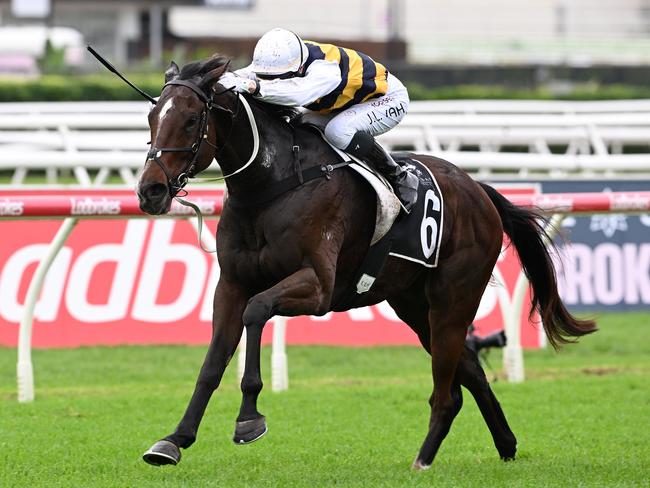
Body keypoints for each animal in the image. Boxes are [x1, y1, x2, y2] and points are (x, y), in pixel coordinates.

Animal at [134, 55, 596, 470]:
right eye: (152, 116)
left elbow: (257, 311)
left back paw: (423, 460)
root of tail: (479, 190)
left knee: (446, 390)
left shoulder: (317, 286)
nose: (150, 191)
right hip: (414, 305)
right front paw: (174, 440)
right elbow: (212, 363)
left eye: (191, 120)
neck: (272, 185)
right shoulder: (230, 284)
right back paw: (505, 445)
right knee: (469, 371)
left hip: (454, 297)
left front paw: (249, 418)